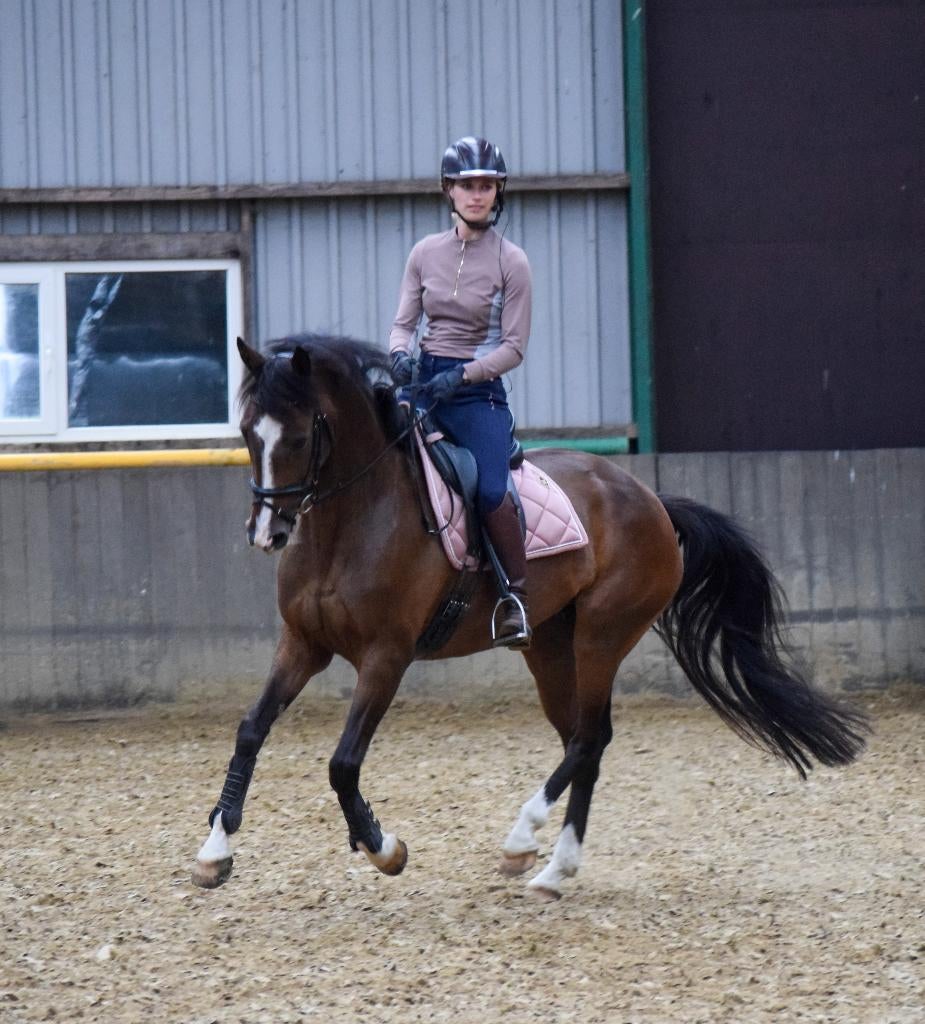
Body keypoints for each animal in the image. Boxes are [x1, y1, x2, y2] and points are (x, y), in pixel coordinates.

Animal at [191, 334, 868, 900]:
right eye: (248, 432)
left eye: (299, 437)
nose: (267, 533)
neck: (349, 523)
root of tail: (650, 499)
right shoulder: (303, 643)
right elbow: (250, 730)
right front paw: (214, 850)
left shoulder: (387, 655)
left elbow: (343, 762)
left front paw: (384, 848)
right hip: (548, 645)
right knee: (583, 740)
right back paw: (553, 871)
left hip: (601, 635)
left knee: (590, 737)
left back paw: (523, 840)